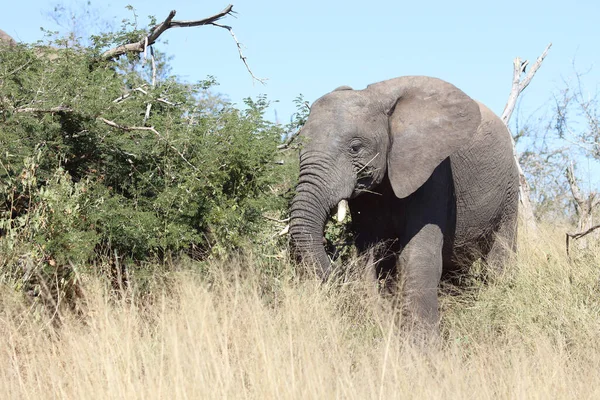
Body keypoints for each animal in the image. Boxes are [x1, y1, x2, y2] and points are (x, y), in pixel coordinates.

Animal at [288, 76, 516, 334]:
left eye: (355, 148)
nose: (336, 274)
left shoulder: (434, 172)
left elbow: (416, 257)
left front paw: (422, 344)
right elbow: (373, 256)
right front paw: (385, 327)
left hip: (509, 187)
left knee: (500, 257)